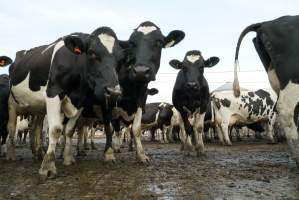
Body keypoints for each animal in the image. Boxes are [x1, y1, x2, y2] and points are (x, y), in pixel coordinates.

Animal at [7, 27, 123, 178]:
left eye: (121, 58)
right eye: (92, 53)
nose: (113, 91)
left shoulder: (80, 102)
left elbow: (69, 131)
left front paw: (68, 158)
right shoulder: (53, 93)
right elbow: (56, 129)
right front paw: (48, 166)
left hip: (38, 109)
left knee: (35, 128)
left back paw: (37, 153)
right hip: (11, 105)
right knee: (12, 128)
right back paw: (11, 155)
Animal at [111, 21, 185, 162]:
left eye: (159, 42)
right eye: (131, 43)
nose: (141, 71)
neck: (129, 87)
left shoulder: (141, 99)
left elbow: (136, 129)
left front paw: (141, 155)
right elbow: (113, 129)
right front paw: (110, 152)